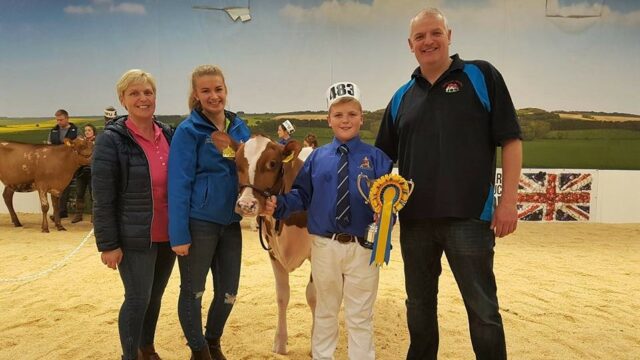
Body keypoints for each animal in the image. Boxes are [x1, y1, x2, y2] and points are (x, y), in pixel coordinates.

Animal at [211, 133, 316, 354]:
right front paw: (280, 343)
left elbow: (313, 296)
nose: (246, 204)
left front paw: (316, 344)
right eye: (236, 163)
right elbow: (282, 295)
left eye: (273, 163)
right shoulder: (274, 252)